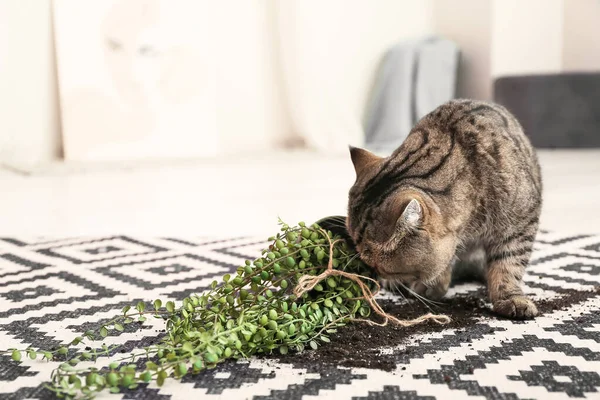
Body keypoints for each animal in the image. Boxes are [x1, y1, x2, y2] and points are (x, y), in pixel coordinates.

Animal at [344, 99, 540, 318]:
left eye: (378, 265)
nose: (375, 275)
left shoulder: (521, 223)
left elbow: (509, 263)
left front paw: (511, 298)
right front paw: (431, 285)